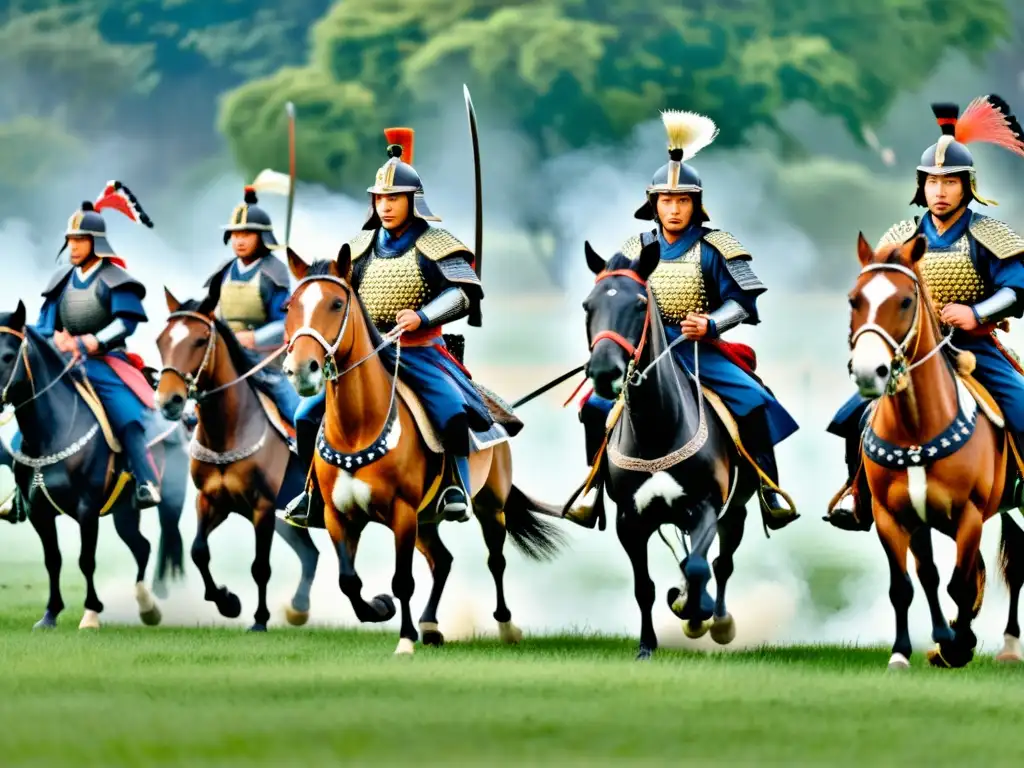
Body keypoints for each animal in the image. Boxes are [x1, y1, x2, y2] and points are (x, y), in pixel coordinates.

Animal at [0, 301, 191, 630]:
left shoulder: (86, 509)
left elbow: (85, 560)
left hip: (169, 499)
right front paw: (50, 614)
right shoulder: (39, 512)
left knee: (165, 539)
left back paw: (157, 598)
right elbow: (53, 560)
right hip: (125, 512)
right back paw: (146, 605)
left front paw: (91, 614)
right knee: (142, 547)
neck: (52, 432)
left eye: (9, 355)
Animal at [155, 288, 319, 630]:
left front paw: (259, 619)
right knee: (310, 554)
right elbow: (198, 551)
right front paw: (227, 601)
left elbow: (260, 567)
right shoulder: (212, 501)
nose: (169, 400)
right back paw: (299, 606)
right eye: (162, 340)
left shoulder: (263, 508)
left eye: (200, 339)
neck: (227, 433)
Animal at [284, 244, 565, 655]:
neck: (357, 430)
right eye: (290, 305)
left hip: (489, 505)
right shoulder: (340, 517)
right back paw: (430, 626)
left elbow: (403, 581)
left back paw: (506, 627)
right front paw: (379, 609)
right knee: (442, 560)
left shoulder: (402, 513)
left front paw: (403, 640)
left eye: (336, 304)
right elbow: (348, 581)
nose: (301, 369)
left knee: (495, 560)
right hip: (427, 519)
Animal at [581, 241, 765, 663]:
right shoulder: (630, 520)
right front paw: (647, 645)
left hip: (737, 509)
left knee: (721, 563)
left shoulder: (707, 507)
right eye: (588, 306)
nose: (603, 372)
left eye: (638, 305)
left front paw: (694, 613)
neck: (657, 430)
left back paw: (717, 620)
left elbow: (699, 567)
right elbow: (644, 586)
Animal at [843, 233, 1024, 667]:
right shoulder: (894, 516)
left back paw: (1009, 646)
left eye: (905, 301)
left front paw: (959, 644)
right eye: (854, 300)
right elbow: (910, 583)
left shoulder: (970, 515)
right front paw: (909, 651)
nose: (868, 371)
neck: (917, 430)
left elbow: (960, 583)